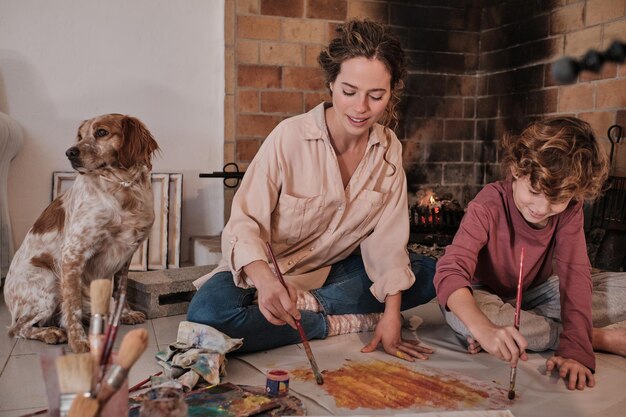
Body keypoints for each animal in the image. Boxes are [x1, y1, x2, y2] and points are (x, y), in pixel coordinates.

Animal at [3, 114, 158, 352]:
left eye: (102, 132)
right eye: (80, 136)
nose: (70, 152)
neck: (122, 188)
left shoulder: (126, 255)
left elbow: (120, 290)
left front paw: (125, 314)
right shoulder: (73, 254)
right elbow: (72, 305)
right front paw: (78, 341)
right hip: (49, 280)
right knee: (18, 328)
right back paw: (52, 332)